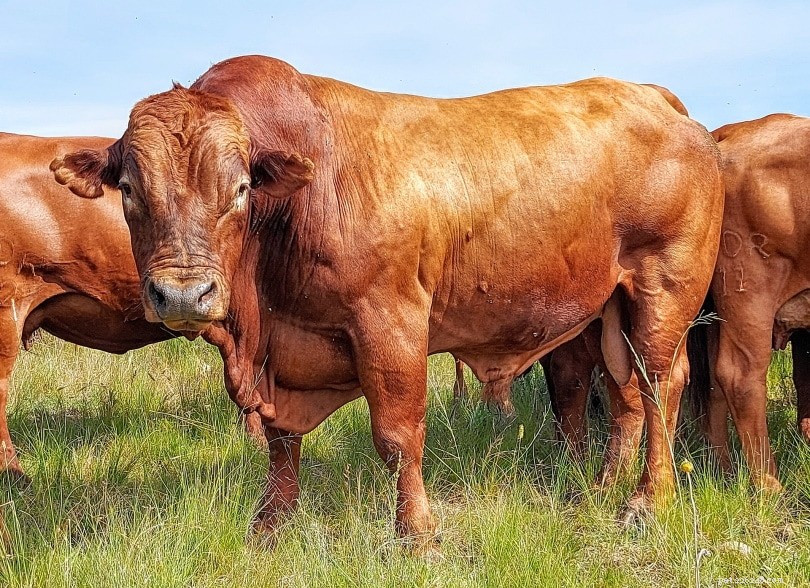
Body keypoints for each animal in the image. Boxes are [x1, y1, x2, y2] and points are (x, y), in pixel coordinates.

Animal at [51, 55, 724, 541]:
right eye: (128, 189)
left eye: (241, 188)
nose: (184, 294)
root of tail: (653, 96)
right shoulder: (285, 355)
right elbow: (281, 441)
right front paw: (270, 524)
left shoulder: (390, 322)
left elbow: (398, 436)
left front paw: (415, 533)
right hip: (613, 307)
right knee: (625, 393)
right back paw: (608, 487)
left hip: (665, 290)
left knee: (660, 386)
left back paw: (644, 502)